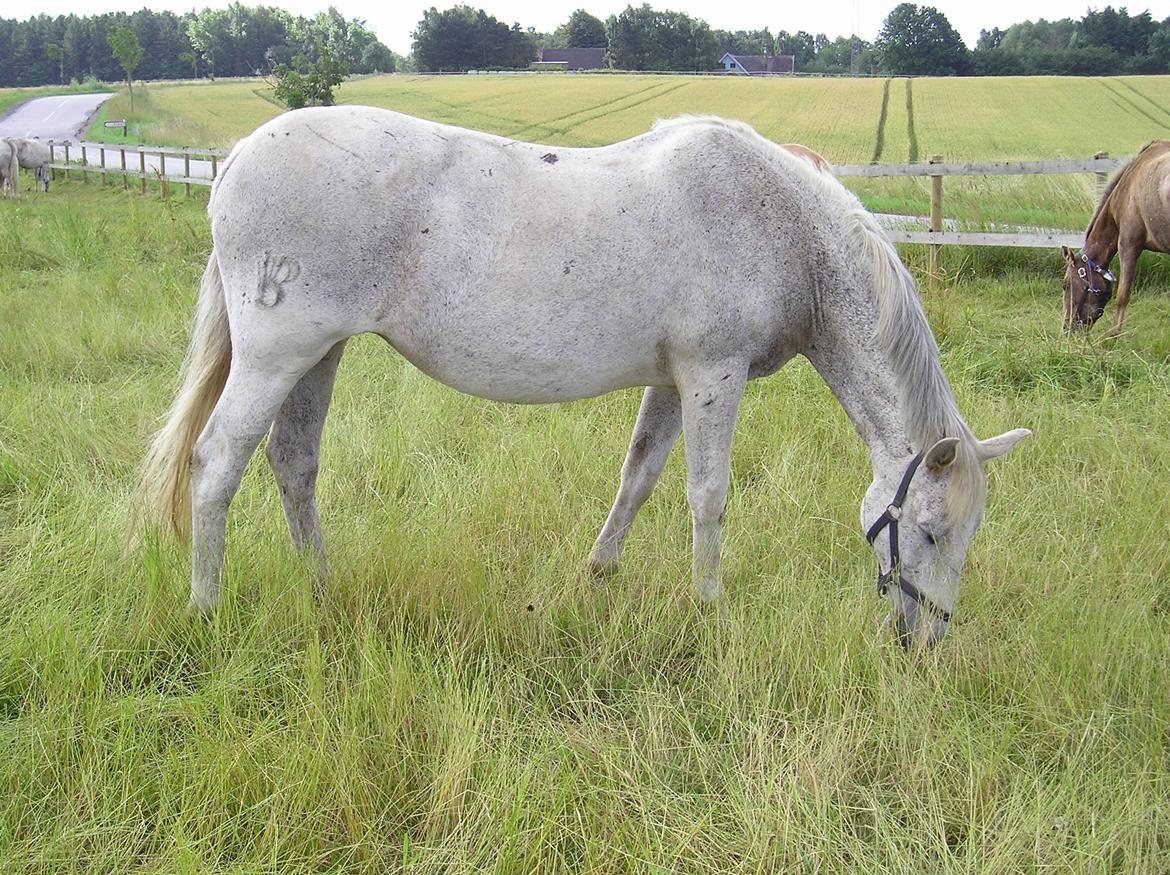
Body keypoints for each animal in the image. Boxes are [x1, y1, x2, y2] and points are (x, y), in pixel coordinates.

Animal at [139, 107, 1034, 641]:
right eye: (930, 531)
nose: (925, 640)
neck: (781, 227)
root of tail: (234, 160)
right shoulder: (712, 374)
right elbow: (707, 494)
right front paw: (710, 605)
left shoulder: (671, 381)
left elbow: (637, 477)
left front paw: (598, 574)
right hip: (275, 355)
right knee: (217, 463)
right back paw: (205, 608)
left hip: (318, 354)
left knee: (294, 463)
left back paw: (321, 587)